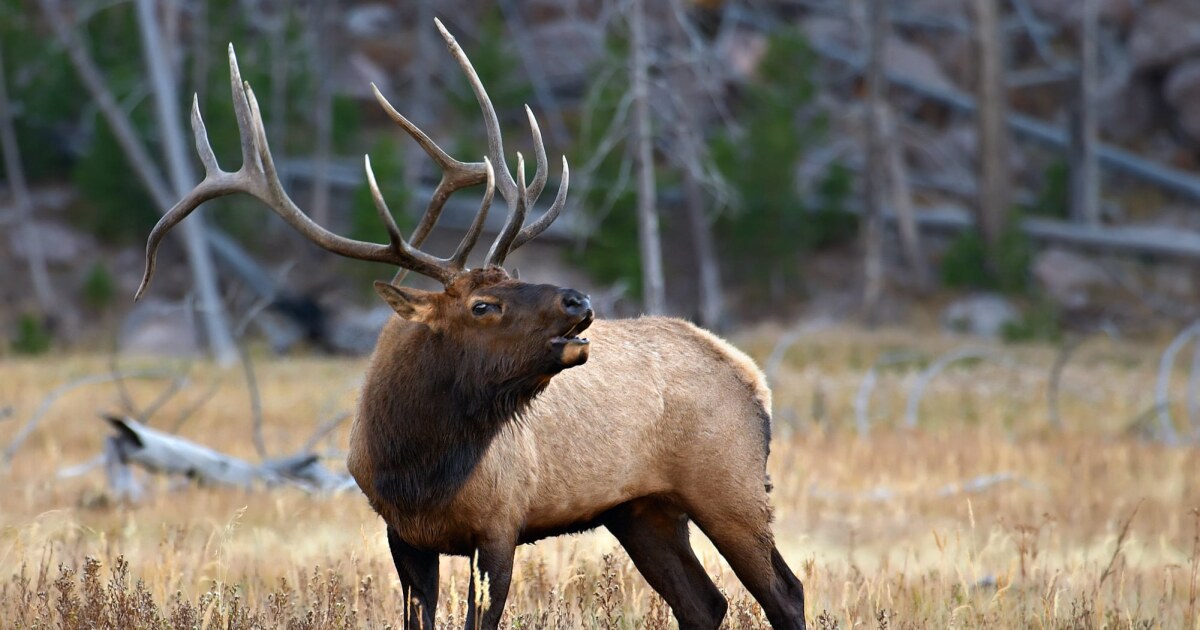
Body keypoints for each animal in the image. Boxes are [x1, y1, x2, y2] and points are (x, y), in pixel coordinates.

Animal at [135, 20, 807, 630]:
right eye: (483, 305)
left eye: (515, 276)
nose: (578, 300)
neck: (421, 464)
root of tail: (752, 375)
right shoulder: (402, 535)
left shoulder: (501, 527)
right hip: (642, 509)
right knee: (705, 604)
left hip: (731, 485)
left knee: (785, 591)